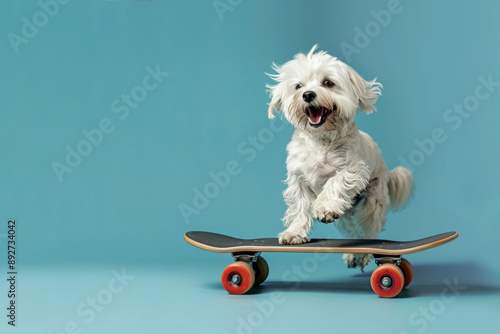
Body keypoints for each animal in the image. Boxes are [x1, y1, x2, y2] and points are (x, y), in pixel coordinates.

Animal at [268, 45, 412, 270]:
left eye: (328, 83)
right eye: (298, 86)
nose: (307, 94)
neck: (320, 140)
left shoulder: (353, 169)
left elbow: (335, 182)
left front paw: (325, 207)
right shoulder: (298, 179)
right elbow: (299, 207)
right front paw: (295, 233)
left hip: (372, 201)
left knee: (369, 231)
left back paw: (363, 253)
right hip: (346, 216)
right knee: (353, 230)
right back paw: (353, 253)